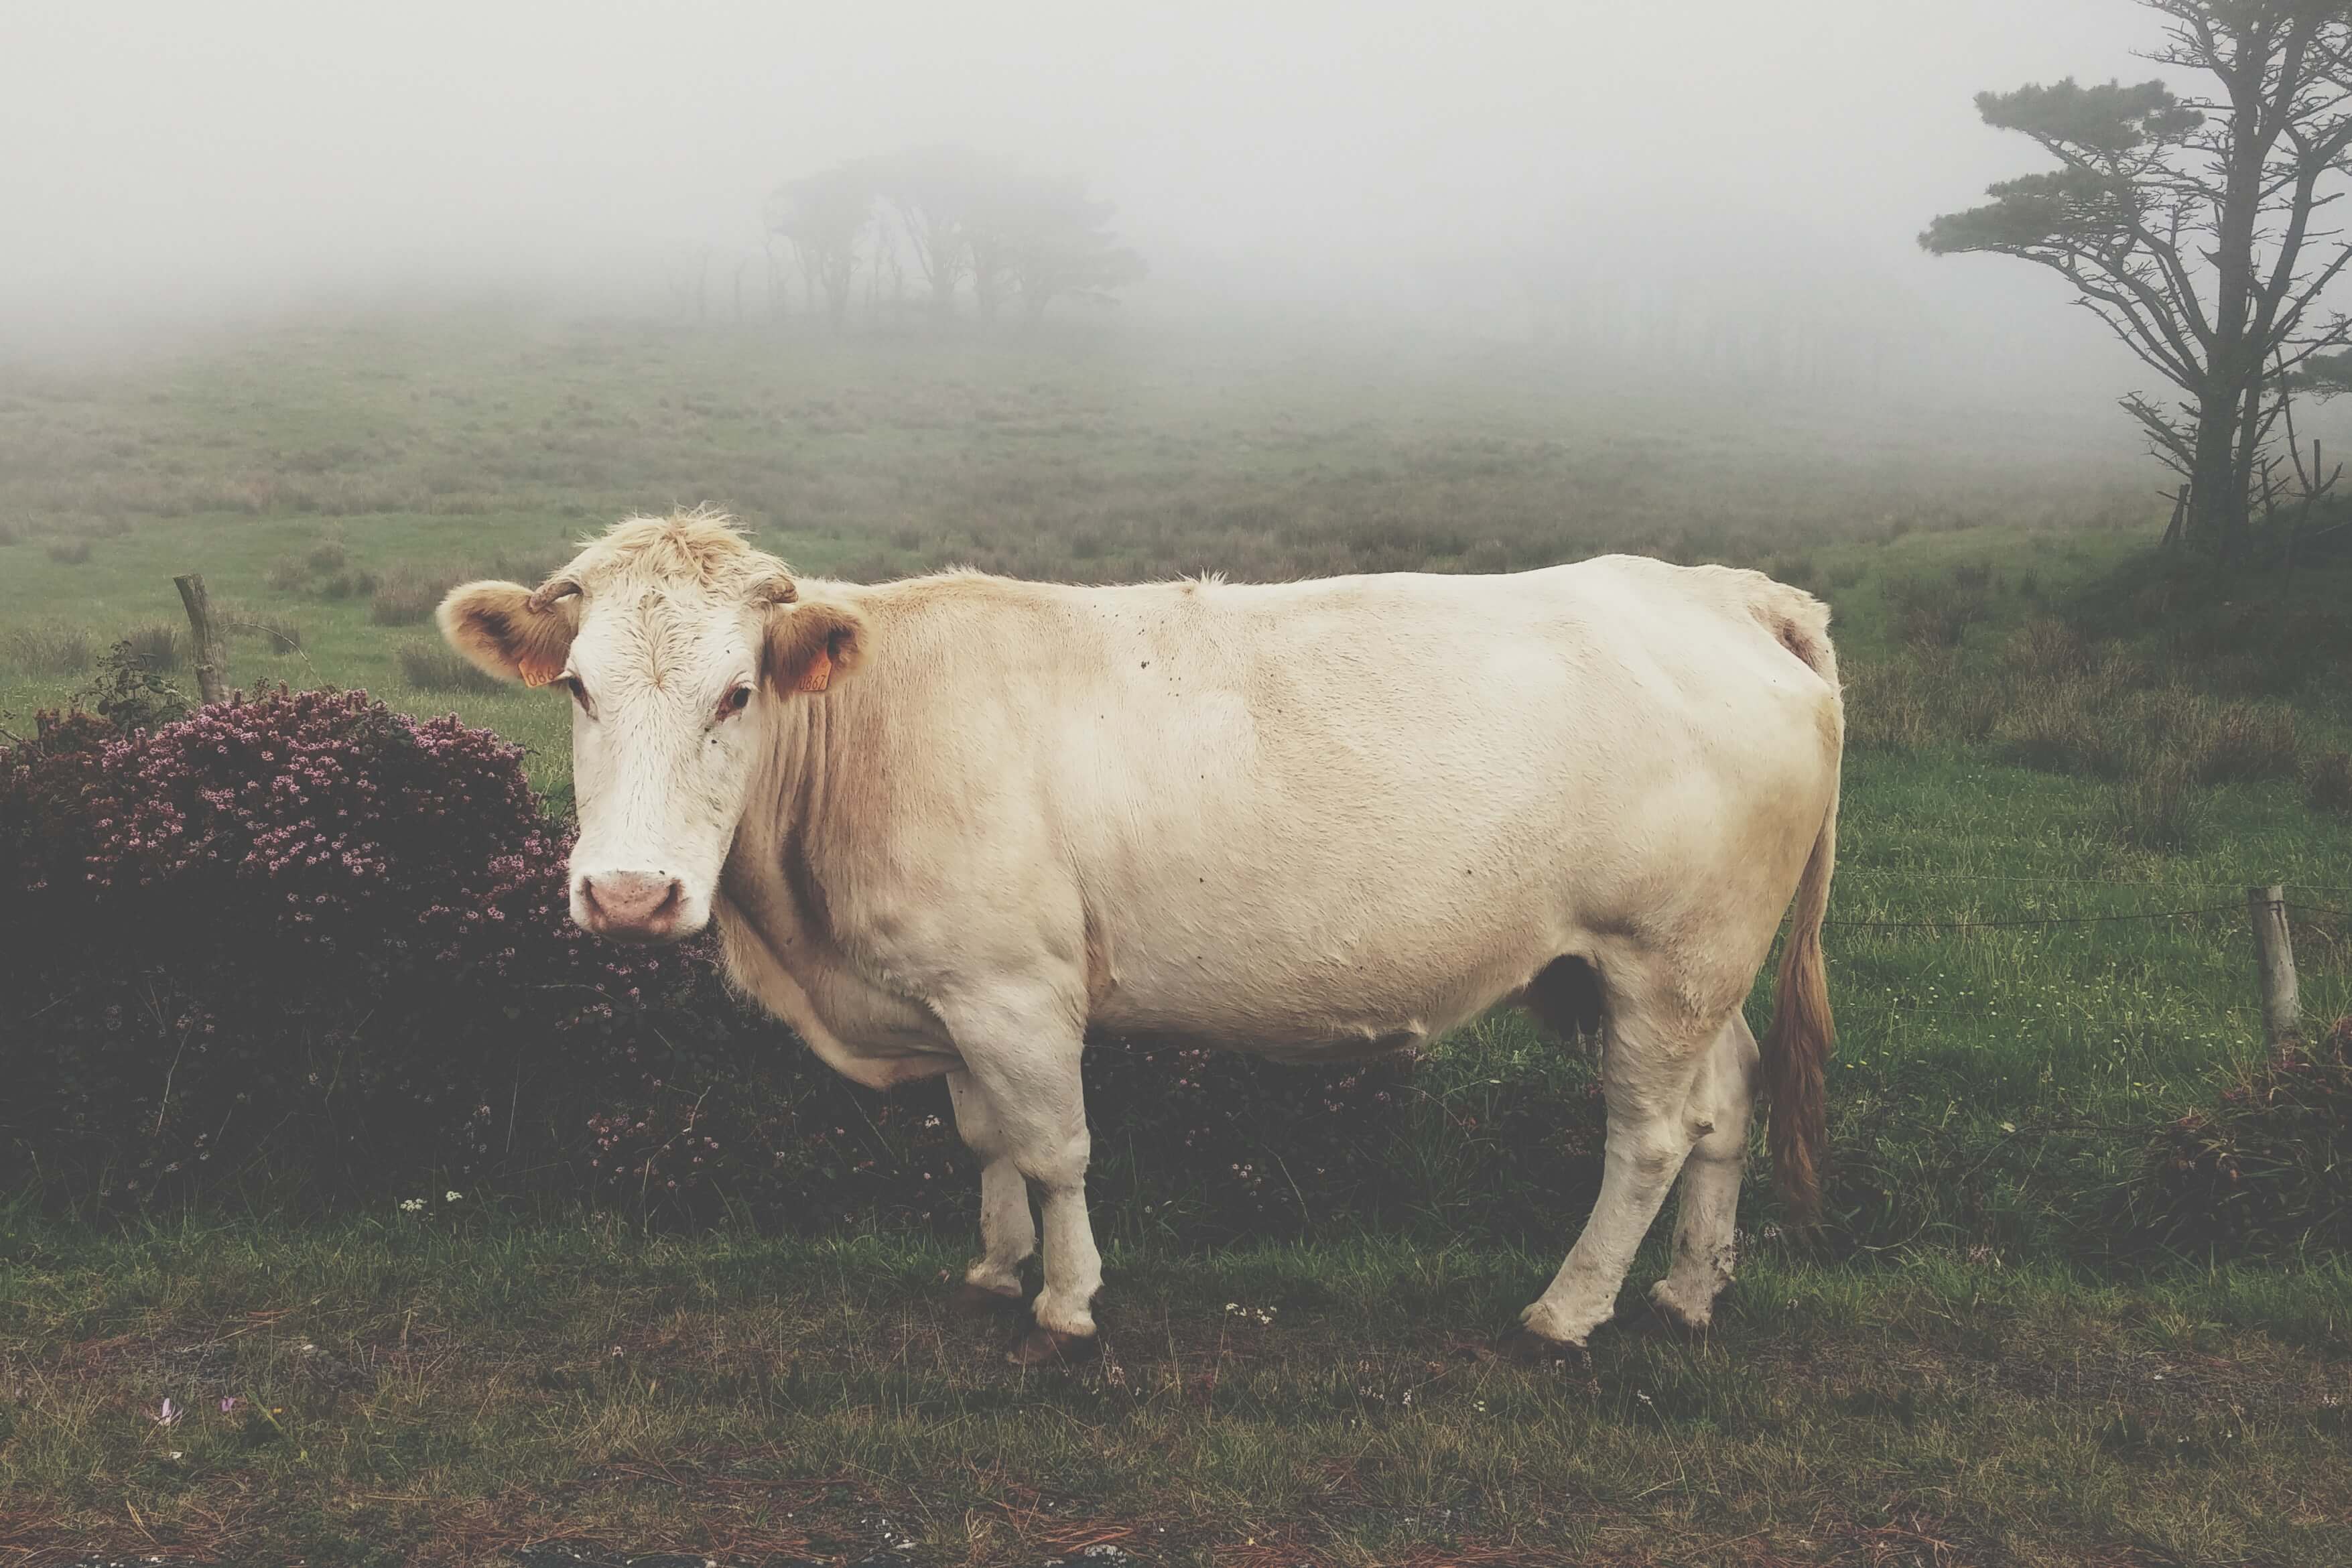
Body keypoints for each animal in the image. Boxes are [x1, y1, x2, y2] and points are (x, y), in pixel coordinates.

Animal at [442, 512, 1834, 1363]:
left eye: (736, 694)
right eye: (579, 689)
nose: (630, 895)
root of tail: (1722, 590)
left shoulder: (1015, 995)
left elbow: (1056, 1149)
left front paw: (1065, 1301)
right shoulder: (957, 998)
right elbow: (987, 1139)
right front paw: (996, 1269)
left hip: (1667, 957)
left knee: (1649, 1136)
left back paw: (1568, 1309)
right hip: (1663, 974)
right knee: (1724, 1105)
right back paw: (1690, 1291)